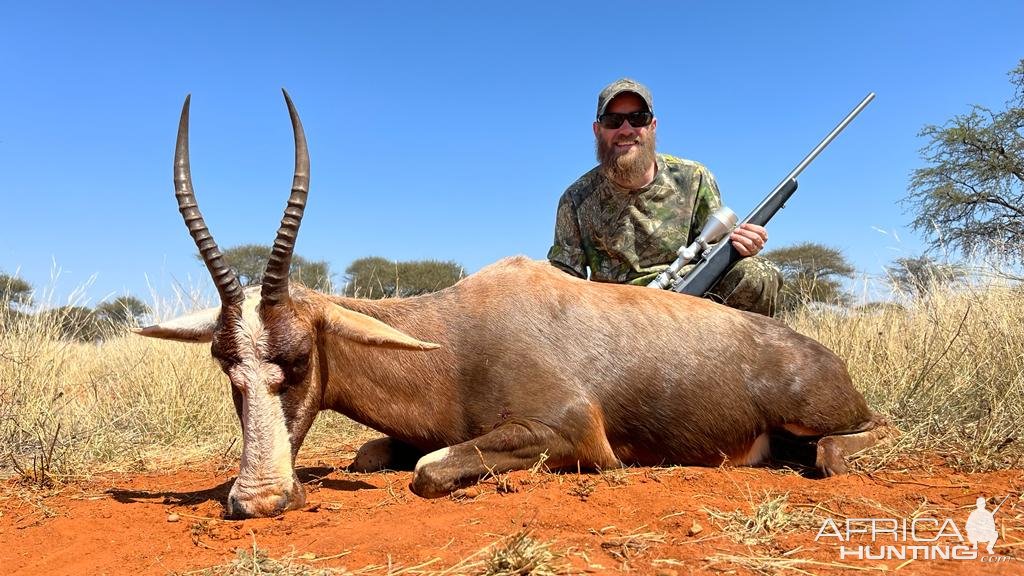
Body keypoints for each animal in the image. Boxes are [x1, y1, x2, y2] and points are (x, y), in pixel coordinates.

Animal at [138, 89, 897, 516]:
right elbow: (370, 455)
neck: (452, 340)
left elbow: (428, 469)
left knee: (855, 438)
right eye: (224, 362)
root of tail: (823, 357)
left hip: (823, 416)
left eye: (297, 359)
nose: (257, 499)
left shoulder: (574, 433)